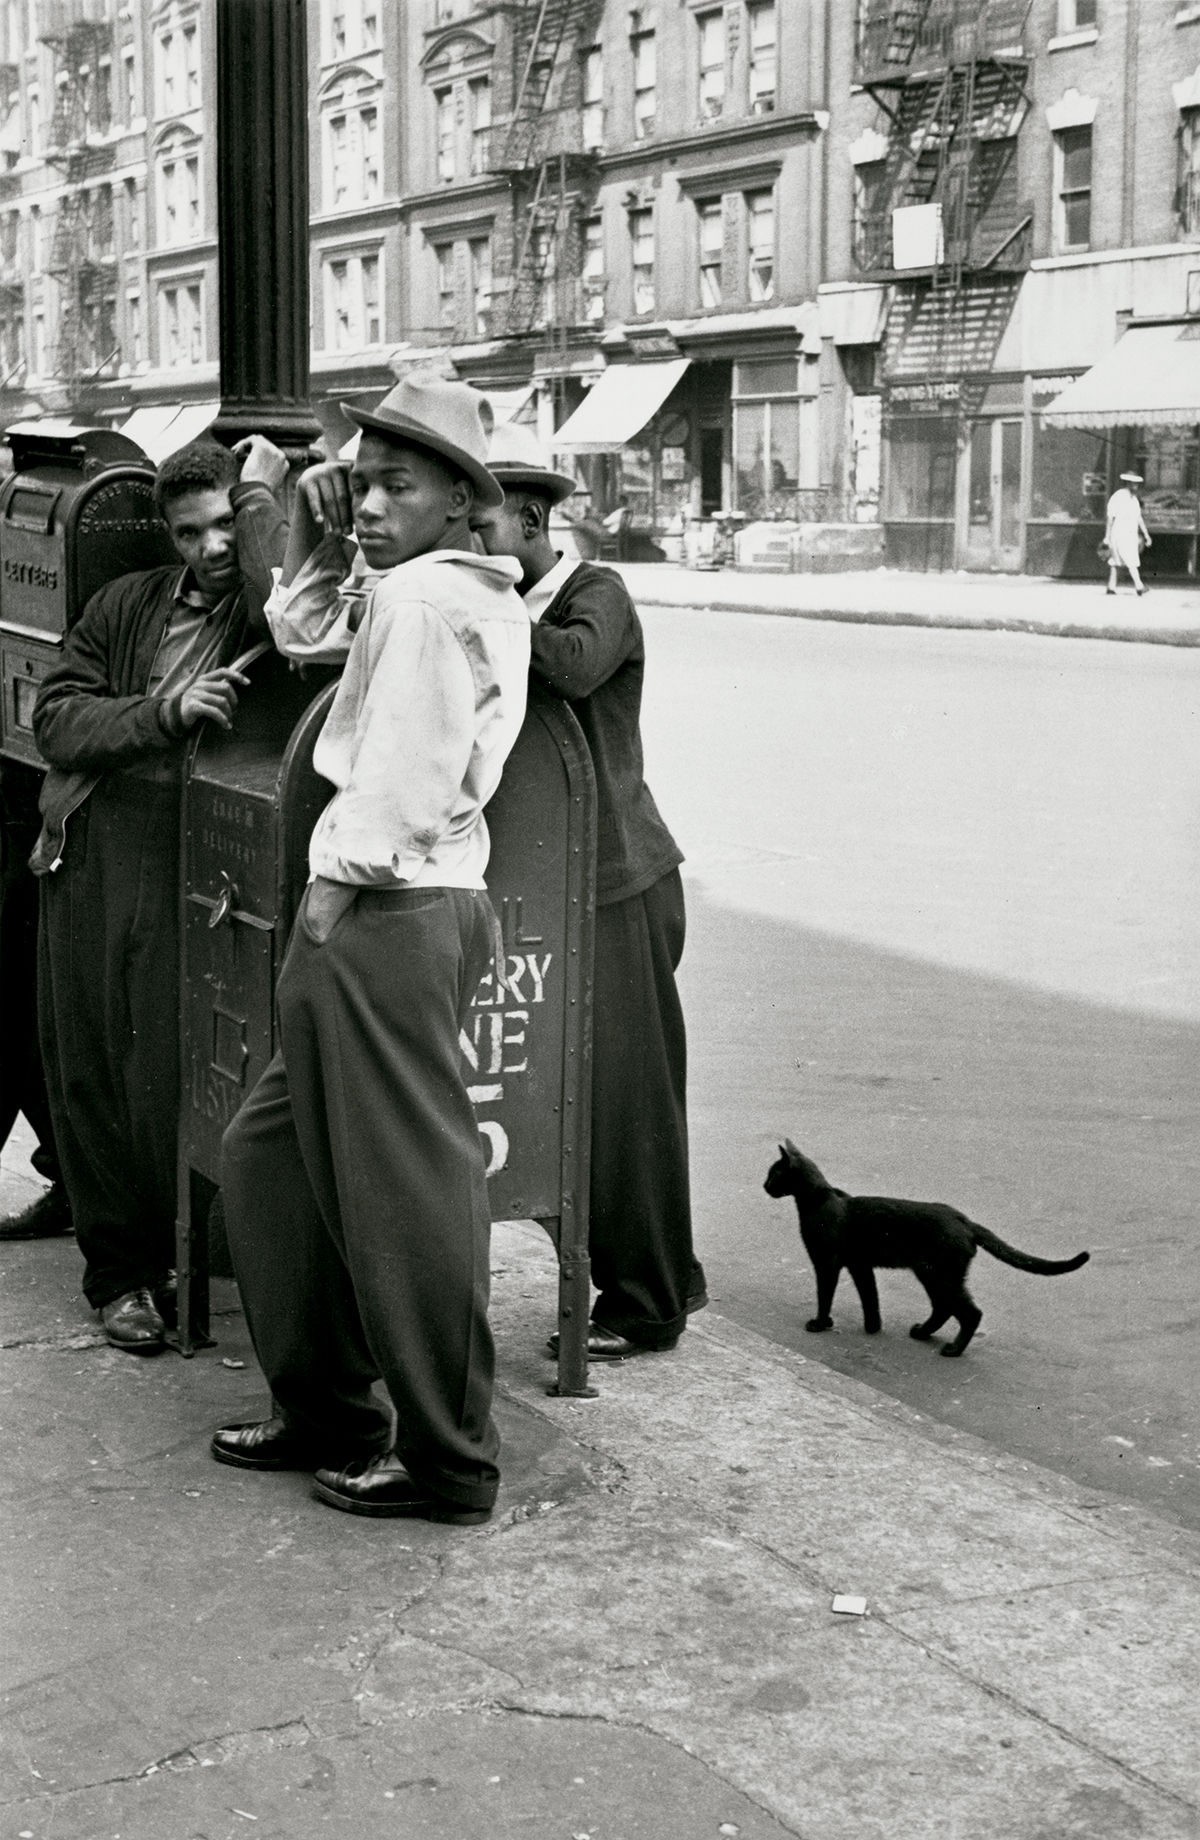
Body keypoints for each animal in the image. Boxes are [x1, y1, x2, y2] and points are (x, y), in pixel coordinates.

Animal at [765, 1140, 1089, 1361]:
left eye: (773, 1174)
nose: (764, 1185)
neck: (819, 1200)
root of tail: (964, 1220)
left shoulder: (827, 1263)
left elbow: (825, 1295)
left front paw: (821, 1323)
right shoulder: (860, 1265)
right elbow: (870, 1298)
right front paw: (873, 1328)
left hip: (939, 1275)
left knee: (970, 1312)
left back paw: (953, 1349)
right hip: (933, 1274)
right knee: (944, 1308)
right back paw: (922, 1333)